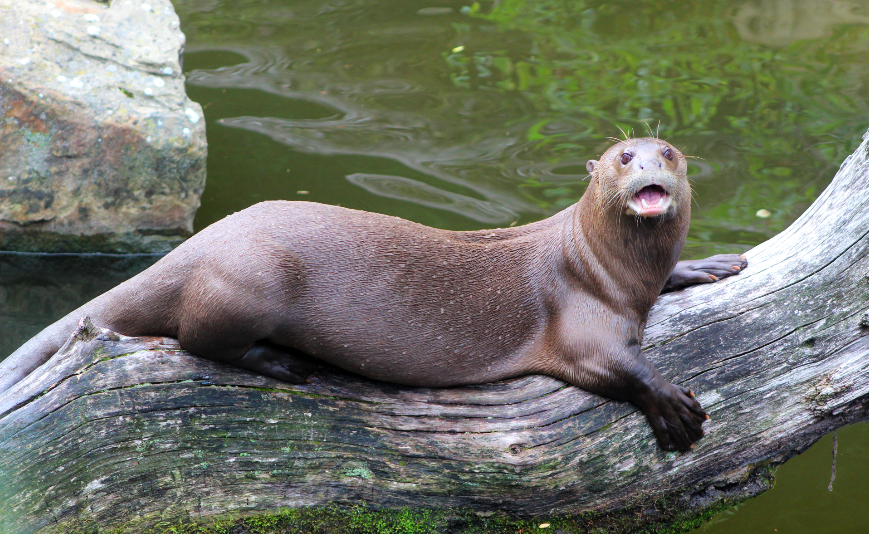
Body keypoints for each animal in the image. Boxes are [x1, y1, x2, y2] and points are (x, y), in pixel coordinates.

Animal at [0, 138, 745, 451]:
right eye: (622, 157)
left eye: (668, 153)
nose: (647, 171)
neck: (609, 267)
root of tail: (200, 242)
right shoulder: (582, 319)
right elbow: (619, 365)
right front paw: (673, 405)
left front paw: (704, 264)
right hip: (250, 280)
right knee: (197, 338)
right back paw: (281, 363)